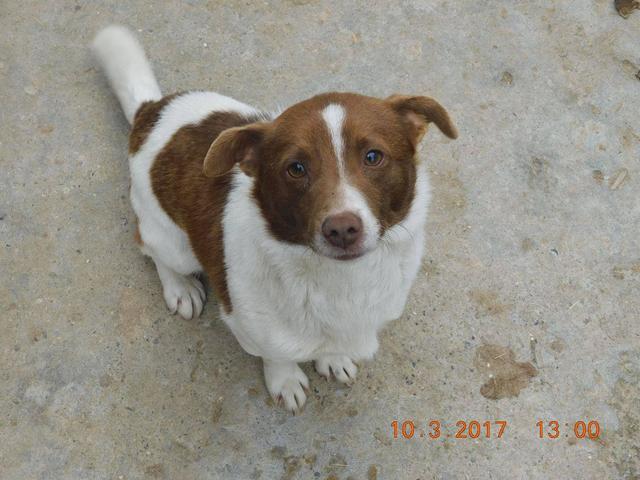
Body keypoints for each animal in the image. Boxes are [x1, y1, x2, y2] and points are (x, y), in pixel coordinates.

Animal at [92, 24, 458, 410]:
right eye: (295, 168)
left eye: (373, 156)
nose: (342, 229)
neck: (340, 279)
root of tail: (151, 112)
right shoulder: (248, 323)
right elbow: (276, 354)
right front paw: (286, 379)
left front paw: (334, 358)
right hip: (171, 241)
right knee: (149, 247)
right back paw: (180, 287)